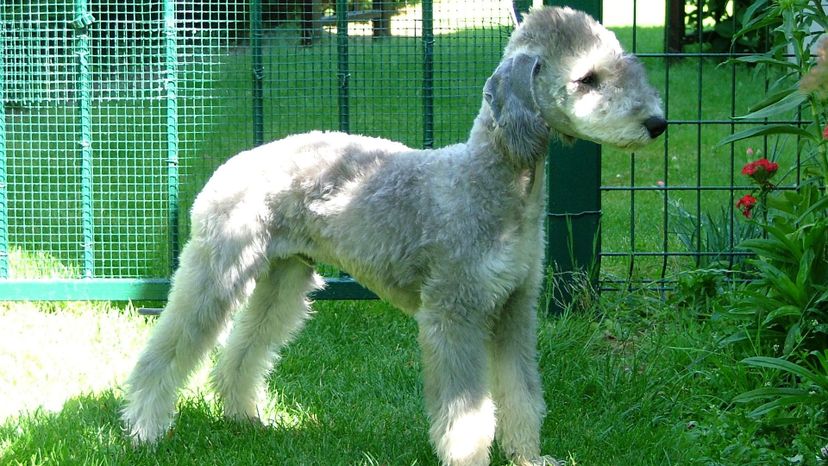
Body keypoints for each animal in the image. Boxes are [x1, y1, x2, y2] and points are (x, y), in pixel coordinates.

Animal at [123, 5, 668, 464]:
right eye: (587, 79)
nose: (658, 123)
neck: (492, 182)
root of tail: (228, 164)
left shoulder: (515, 310)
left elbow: (522, 394)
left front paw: (528, 459)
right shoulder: (454, 313)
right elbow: (467, 413)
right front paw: (470, 458)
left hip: (285, 274)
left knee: (244, 349)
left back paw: (243, 417)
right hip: (218, 269)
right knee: (166, 348)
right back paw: (145, 428)